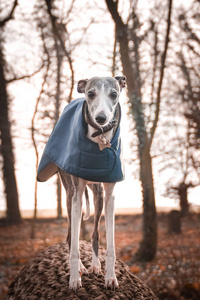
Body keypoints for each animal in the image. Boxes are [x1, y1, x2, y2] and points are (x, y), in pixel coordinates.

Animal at [36, 75, 126, 290]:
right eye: (90, 93)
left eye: (114, 94)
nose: (101, 118)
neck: (99, 140)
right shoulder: (77, 195)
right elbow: (76, 245)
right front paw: (75, 278)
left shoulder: (110, 196)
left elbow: (110, 243)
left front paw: (111, 277)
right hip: (70, 196)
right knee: (71, 236)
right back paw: (82, 269)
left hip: (97, 194)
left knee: (94, 234)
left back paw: (94, 265)